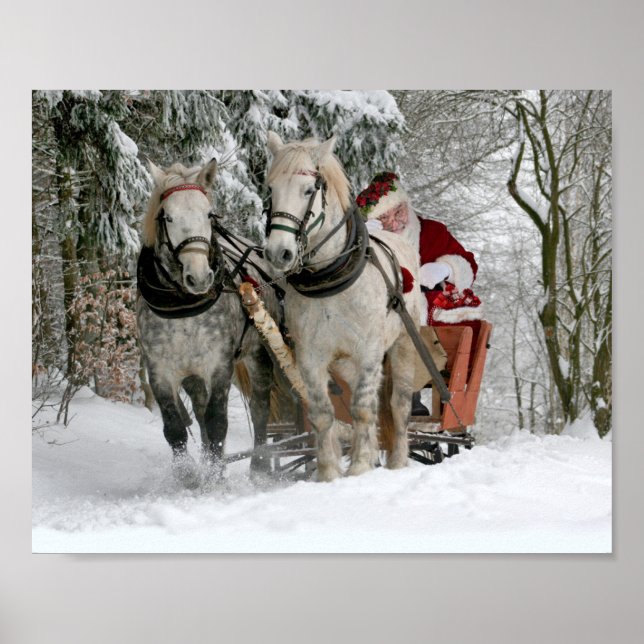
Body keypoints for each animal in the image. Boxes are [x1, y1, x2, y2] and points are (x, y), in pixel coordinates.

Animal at [136, 158, 288, 487]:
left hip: (259, 355)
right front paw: (189, 476)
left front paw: (216, 479)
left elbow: (218, 422)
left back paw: (259, 467)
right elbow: (175, 428)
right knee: (200, 409)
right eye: (168, 217)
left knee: (259, 409)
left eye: (208, 214)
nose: (199, 277)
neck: (183, 306)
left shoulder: (219, 365)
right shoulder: (160, 371)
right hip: (192, 374)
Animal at [263, 132, 424, 481]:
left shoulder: (369, 351)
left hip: (404, 345)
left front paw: (361, 466)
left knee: (398, 405)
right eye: (271, 189)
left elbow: (362, 409)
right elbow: (323, 413)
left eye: (309, 189)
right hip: (346, 363)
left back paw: (397, 461)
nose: (278, 253)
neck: (330, 278)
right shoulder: (310, 356)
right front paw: (328, 472)